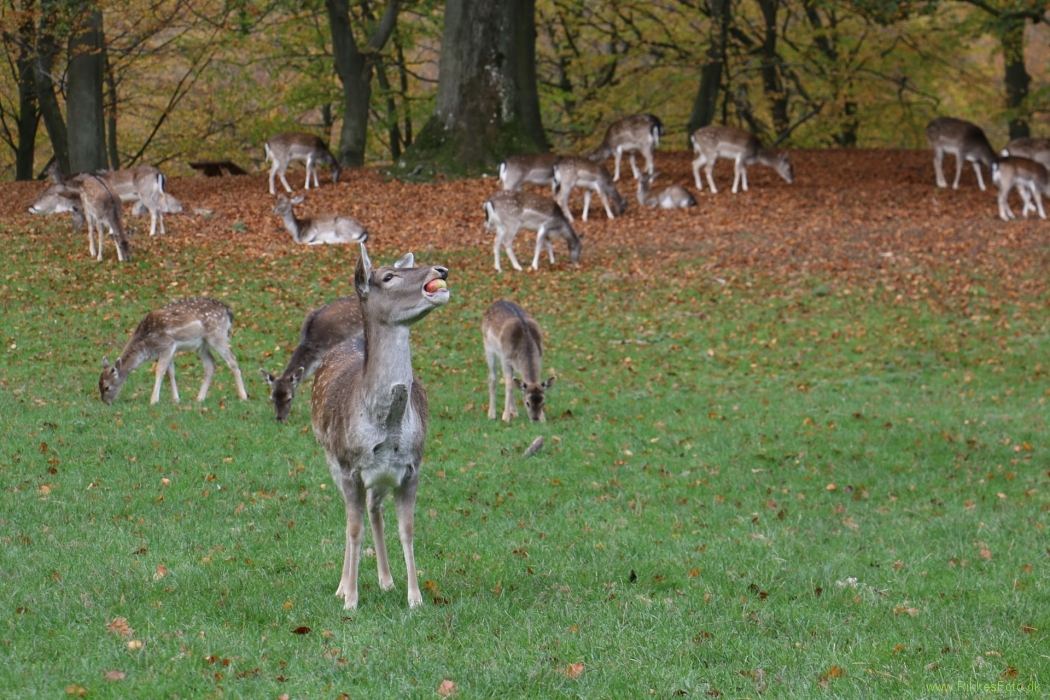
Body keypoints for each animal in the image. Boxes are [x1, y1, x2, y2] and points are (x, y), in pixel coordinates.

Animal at [99, 298, 249, 405]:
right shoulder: (169, 349)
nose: (105, 402)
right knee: (210, 364)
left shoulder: (168, 344)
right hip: (202, 344)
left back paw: (243, 396)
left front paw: (153, 400)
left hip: (217, 334)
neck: (147, 344)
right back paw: (200, 398)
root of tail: (228, 310)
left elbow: (160, 370)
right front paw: (176, 399)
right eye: (98, 384)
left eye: (106, 387)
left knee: (232, 360)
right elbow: (170, 372)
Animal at [310, 243, 449, 610]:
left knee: (374, 510)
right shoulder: (349, 467)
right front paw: (350, 599)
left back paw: (386, 580)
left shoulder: (411, 466)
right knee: (352, 516)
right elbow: (353, 529)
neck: (387, 425)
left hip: (383, 476)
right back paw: (342, 586)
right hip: (331, 460)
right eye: (388, 276)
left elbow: (408, 529)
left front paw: (415, 598)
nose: (441, 270)